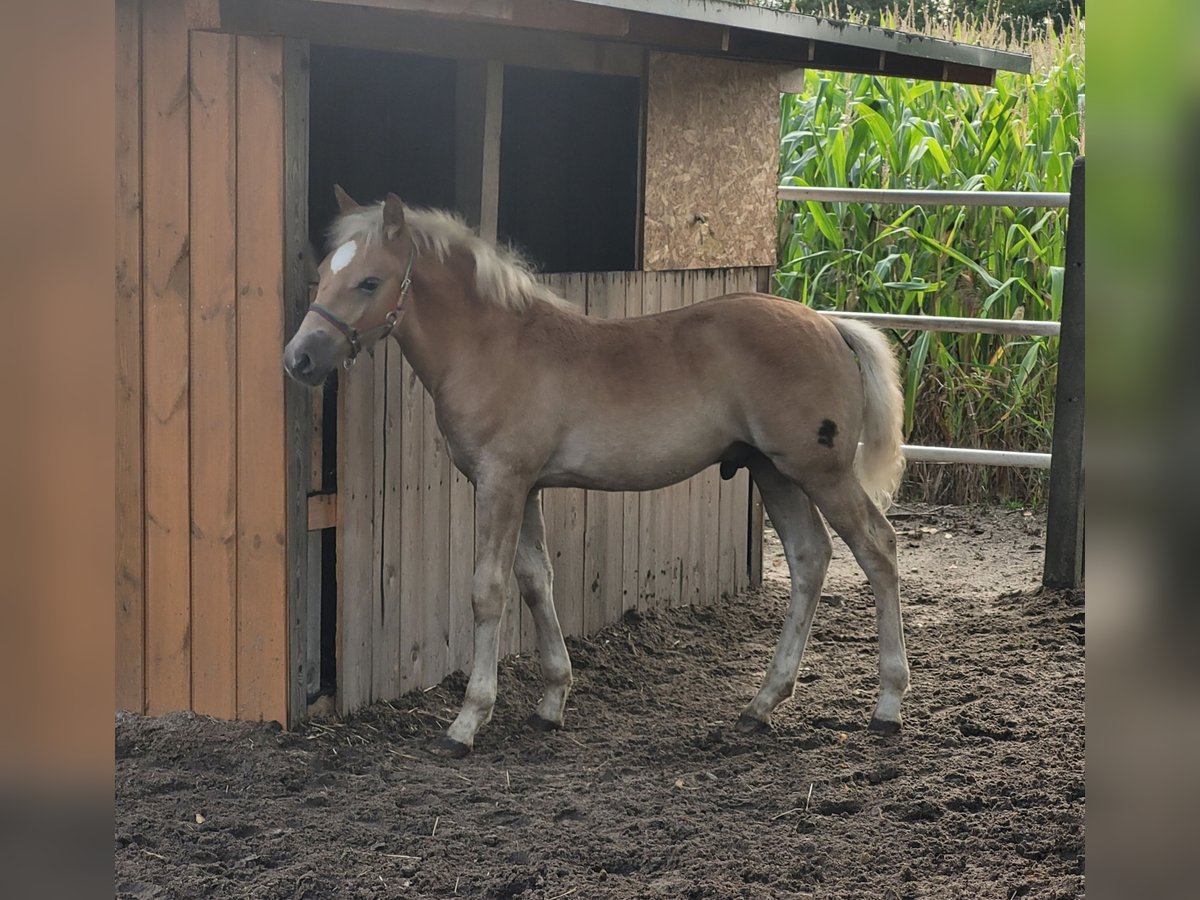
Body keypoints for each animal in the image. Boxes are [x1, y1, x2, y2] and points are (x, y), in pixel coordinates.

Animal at [285, 192, 907, 763]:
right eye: (326, 272)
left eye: (369, 281)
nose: (299, 360)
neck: (493, 347)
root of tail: (828, 324)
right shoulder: (527, 488)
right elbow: (536, 582)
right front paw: (551, 704)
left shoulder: (500, 483)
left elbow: (488, 591)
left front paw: (466, 722)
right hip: (773, 472)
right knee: (810, 558)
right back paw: (761, 705)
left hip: (819, 472)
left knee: (877, 548)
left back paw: (888, 706)